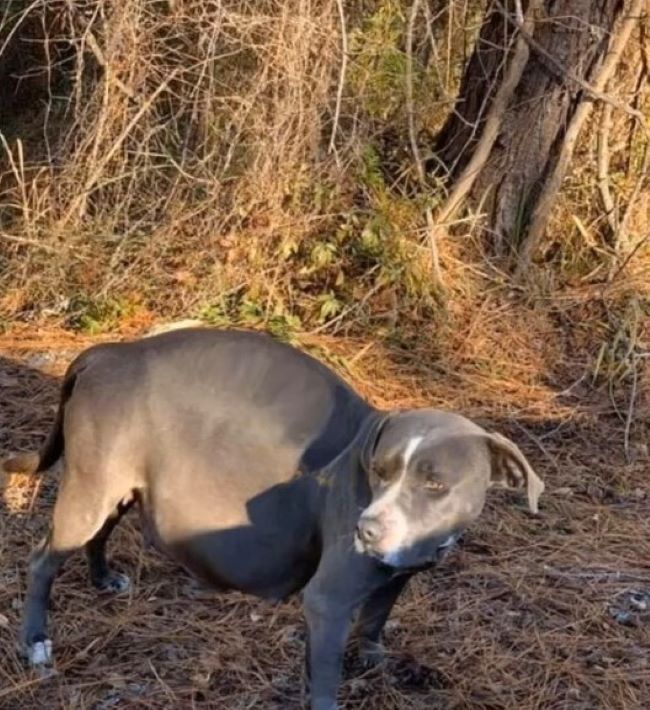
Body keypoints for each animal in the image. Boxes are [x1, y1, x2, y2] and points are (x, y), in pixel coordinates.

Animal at [6, 330, 540, 710]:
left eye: (435, 484)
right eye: (379, 471)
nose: (366, 529)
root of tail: (103, 354)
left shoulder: (394, 579)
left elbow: (374, 621)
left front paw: (374, 663)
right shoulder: (328, 600)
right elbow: (325, 679)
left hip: (116, 486)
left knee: (99, 533)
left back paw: (103, 579)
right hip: (91, 488)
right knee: (43, 559)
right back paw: (36, 641)